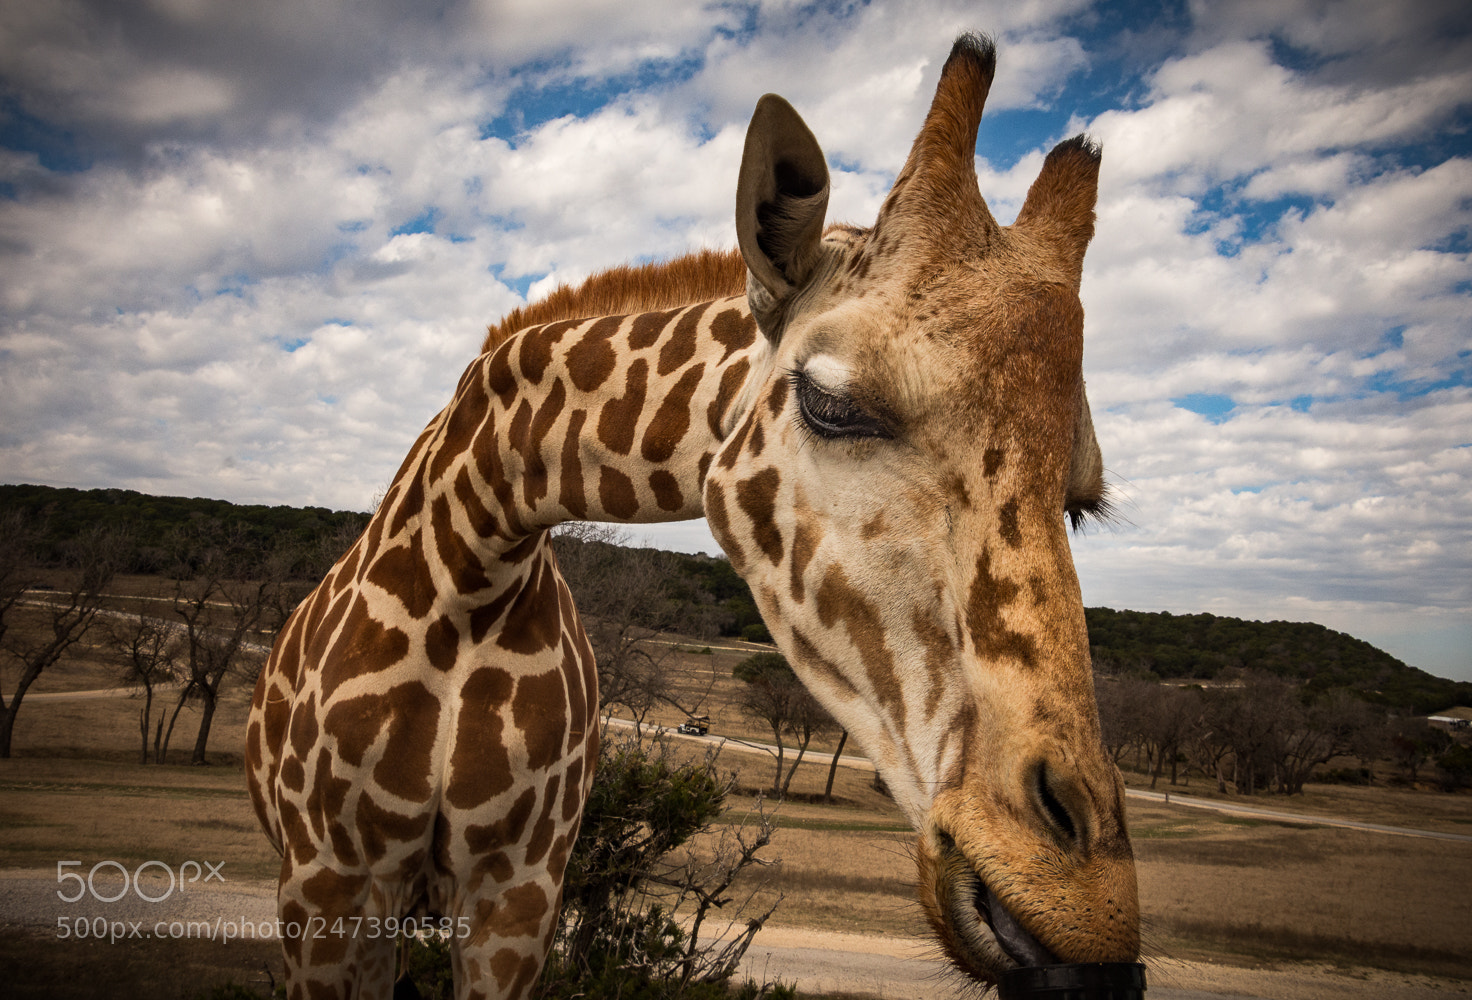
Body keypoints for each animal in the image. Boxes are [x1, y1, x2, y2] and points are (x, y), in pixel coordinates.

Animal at [247, 32, 1139, 1000]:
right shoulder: (329, 882)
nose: (1083, 913)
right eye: (832, 403)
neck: (473, 561)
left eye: (1080, 501)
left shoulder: (518, 891)